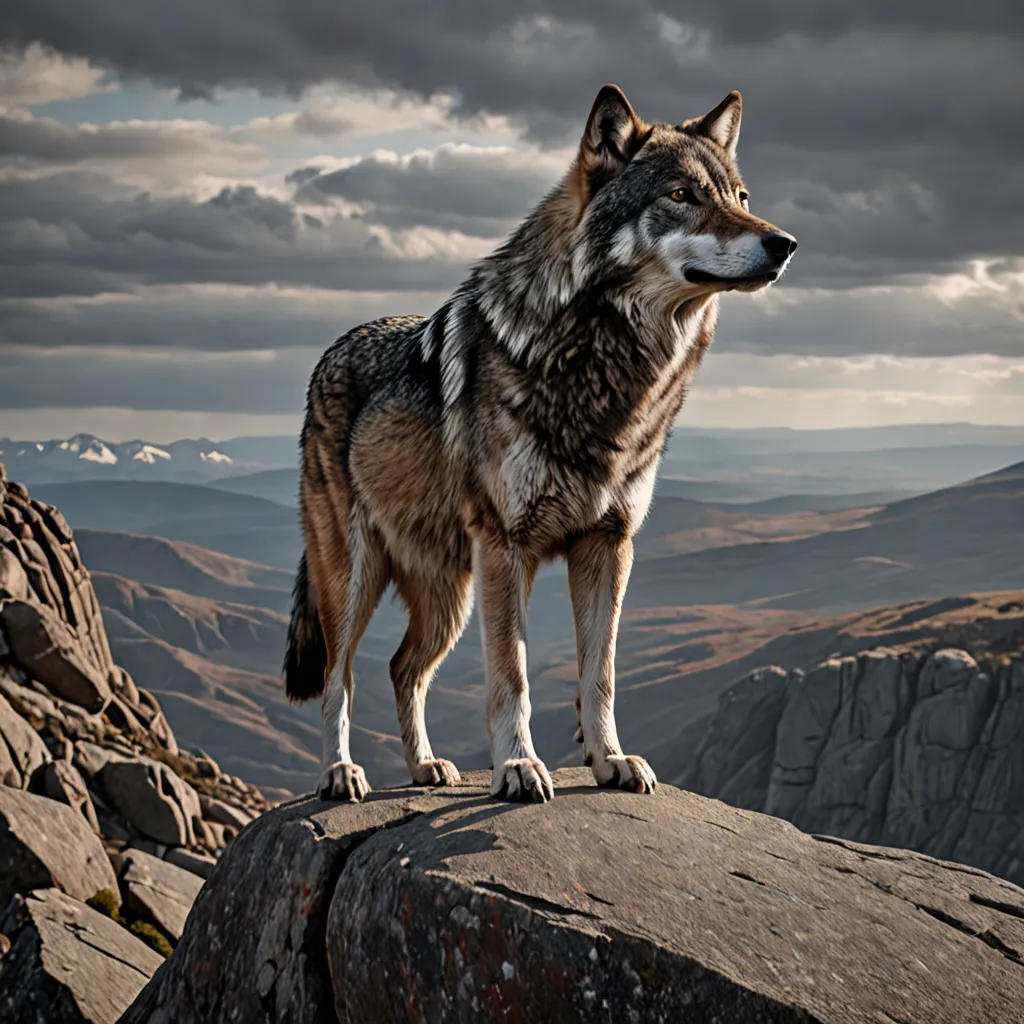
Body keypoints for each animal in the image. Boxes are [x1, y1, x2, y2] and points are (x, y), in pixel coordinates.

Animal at [284, 84, 797, 803]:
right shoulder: (508, 546)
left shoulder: (608, 545)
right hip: (355, 578)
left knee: (402, 668)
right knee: (342, 676)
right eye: (681, 195)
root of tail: (333, 349)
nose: (785, 243)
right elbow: (514, 675)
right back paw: (340, 772)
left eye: (741, 196)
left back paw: (426, 767)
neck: (603, 368)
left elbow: (599, 674)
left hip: (449, 596)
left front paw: (611, 760)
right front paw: (520, 766)